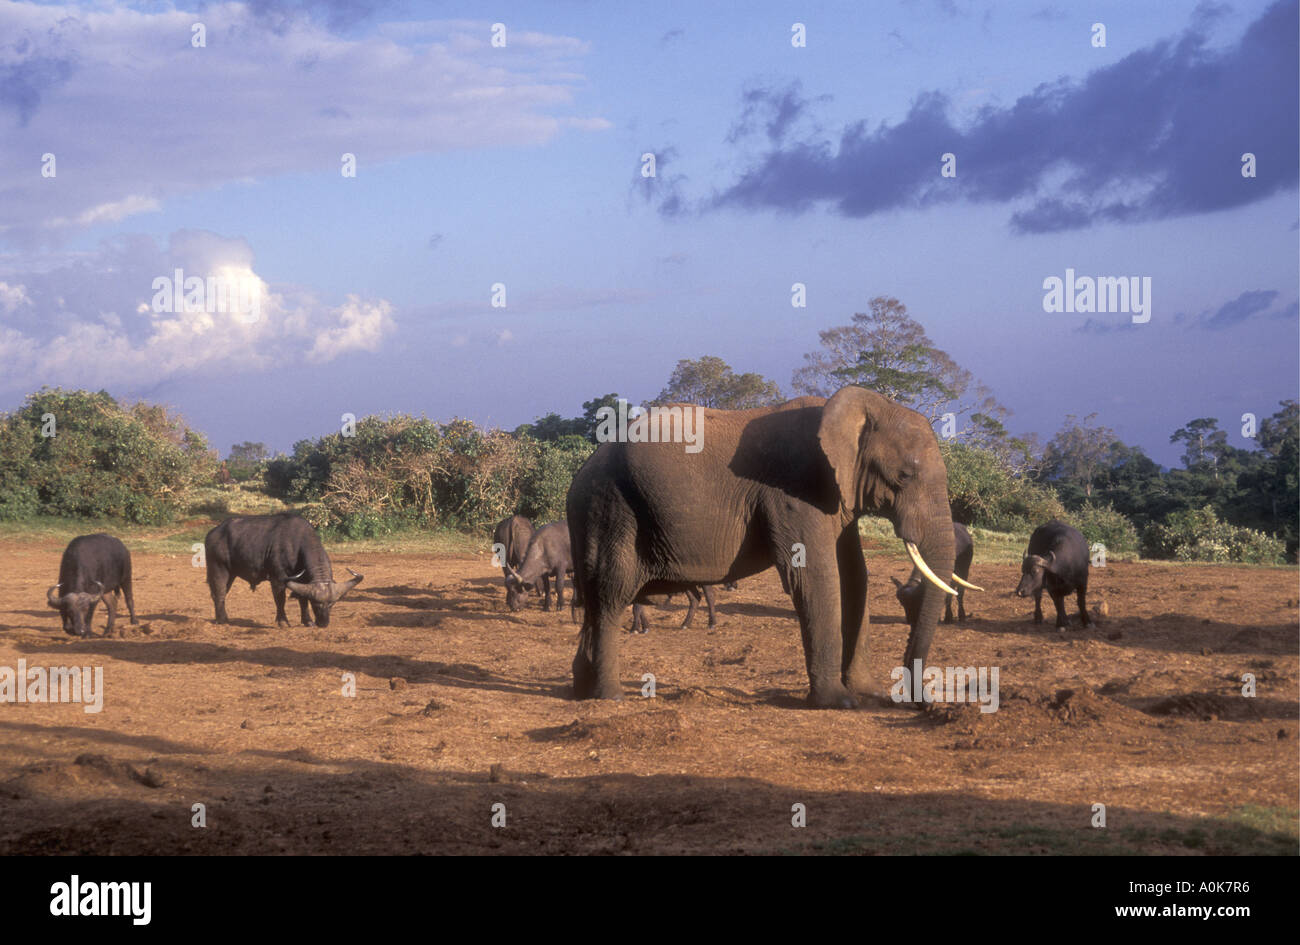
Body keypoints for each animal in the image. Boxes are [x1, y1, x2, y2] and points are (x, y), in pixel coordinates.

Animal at [565, 387, 957, 708]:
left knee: (594, 599)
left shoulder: (837, 497)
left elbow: (855, 576)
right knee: (612, 594)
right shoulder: (796, 491)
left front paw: (867, 693)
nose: (922, 702)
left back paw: (581, 690)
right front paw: (840, 703)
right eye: (905, 476)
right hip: (610, 508)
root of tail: (583, 469)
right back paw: (610, 697)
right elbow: (815, 575)